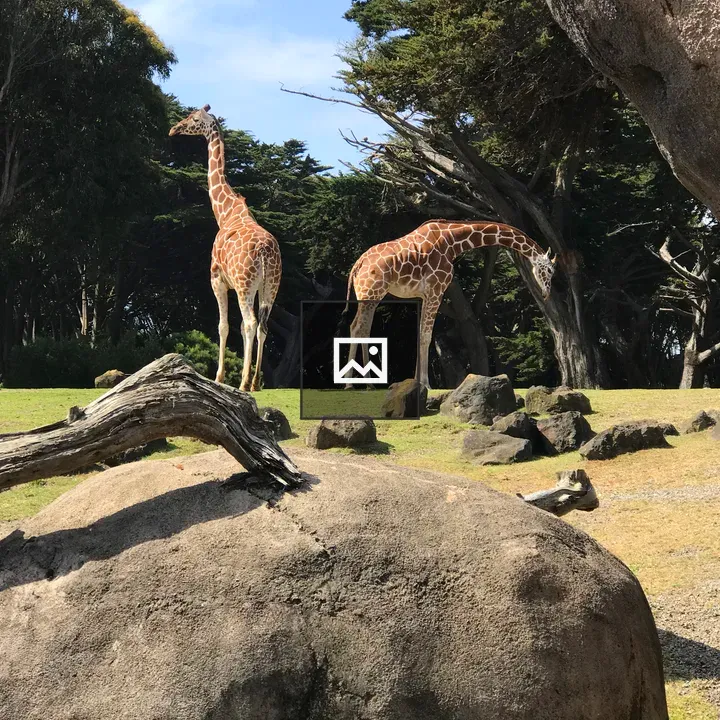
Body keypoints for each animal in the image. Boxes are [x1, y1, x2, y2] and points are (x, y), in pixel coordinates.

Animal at [169, 105, 281, 392]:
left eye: (194, 119)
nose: (174, 128)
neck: (226, 213)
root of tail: (265, 252)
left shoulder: (217, 279)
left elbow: (223, 326)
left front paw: (218, 377)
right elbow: (238, 327)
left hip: (244, 285)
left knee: (251, 323)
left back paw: (243, 383)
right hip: (271, 286)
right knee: (262, 326)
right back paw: (254, 383)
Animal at [343, 219, 556, 388]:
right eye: (550, 271)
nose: (546, 294)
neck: (452, 242)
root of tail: (357, 265)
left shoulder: (424, 295)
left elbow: (420, 333)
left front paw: (417, 382)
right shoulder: (436, 290)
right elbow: (426, 336)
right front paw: (426, 384)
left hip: (369, 296)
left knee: (360, 328)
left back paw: (366, 384)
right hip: (372, 293)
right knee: (358, 327)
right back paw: (352, 385)